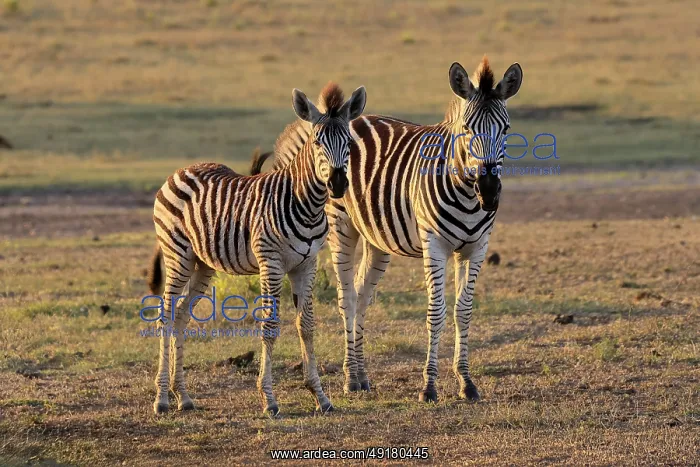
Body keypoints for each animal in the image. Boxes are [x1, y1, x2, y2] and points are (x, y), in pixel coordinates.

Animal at [146, 82, 367, 416]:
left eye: (350, 143)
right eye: (317, 142)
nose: (338, 184)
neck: (305, 202)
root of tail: (181, 171)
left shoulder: (307, 264)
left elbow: (307, 326)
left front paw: (320, 396)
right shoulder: (271, 262)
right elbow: (270, 325)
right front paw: (269, 399)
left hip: (202, 263)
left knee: (182, 315)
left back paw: (183, 396)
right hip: (178, 255)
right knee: (166, 315)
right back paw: (161, 399)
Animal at [267, 57, 523, 402]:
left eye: (505, 129)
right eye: (468, 129)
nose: (489, 189)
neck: (467, 193)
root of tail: (353, 117)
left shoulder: (477, 247)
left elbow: (464, 311)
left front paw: (466, 382)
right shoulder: (435, 244)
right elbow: (437, 311)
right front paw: (429, 386)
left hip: (377, 239)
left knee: (362, 295)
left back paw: (362, 376)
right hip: (341, 227)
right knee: (347, 298)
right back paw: (351, 378)